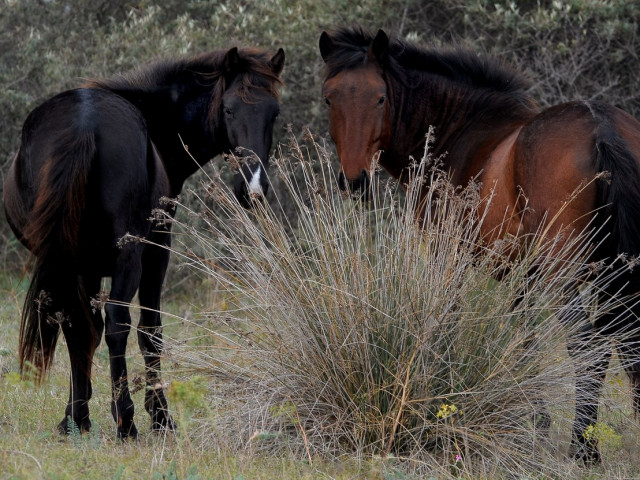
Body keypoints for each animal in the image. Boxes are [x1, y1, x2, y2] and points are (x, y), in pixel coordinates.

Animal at [2, 46, 282, 438]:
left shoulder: (85, 267)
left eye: (274, 113)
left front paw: (76, 415)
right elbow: (150, 331)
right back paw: (126, 420)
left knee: (80, 324)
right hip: (129, 258)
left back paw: (82, 418)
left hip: (69, 261)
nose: (253, 187)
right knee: (119, 323)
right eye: (229, 110)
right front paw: (160, 415)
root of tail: (83, 122)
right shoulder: (156, 252)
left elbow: (86, 330)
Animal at [322, 27, 640, 464]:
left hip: (564, 273)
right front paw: (532, 423)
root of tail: (600, 125)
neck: (460, 133)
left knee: (588, 345)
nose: (354, 181)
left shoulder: (448, 258)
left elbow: (448, 325)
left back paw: (583, 448)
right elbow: (523, 341)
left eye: (380, 98)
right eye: (329, 98)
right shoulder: (524, 277)